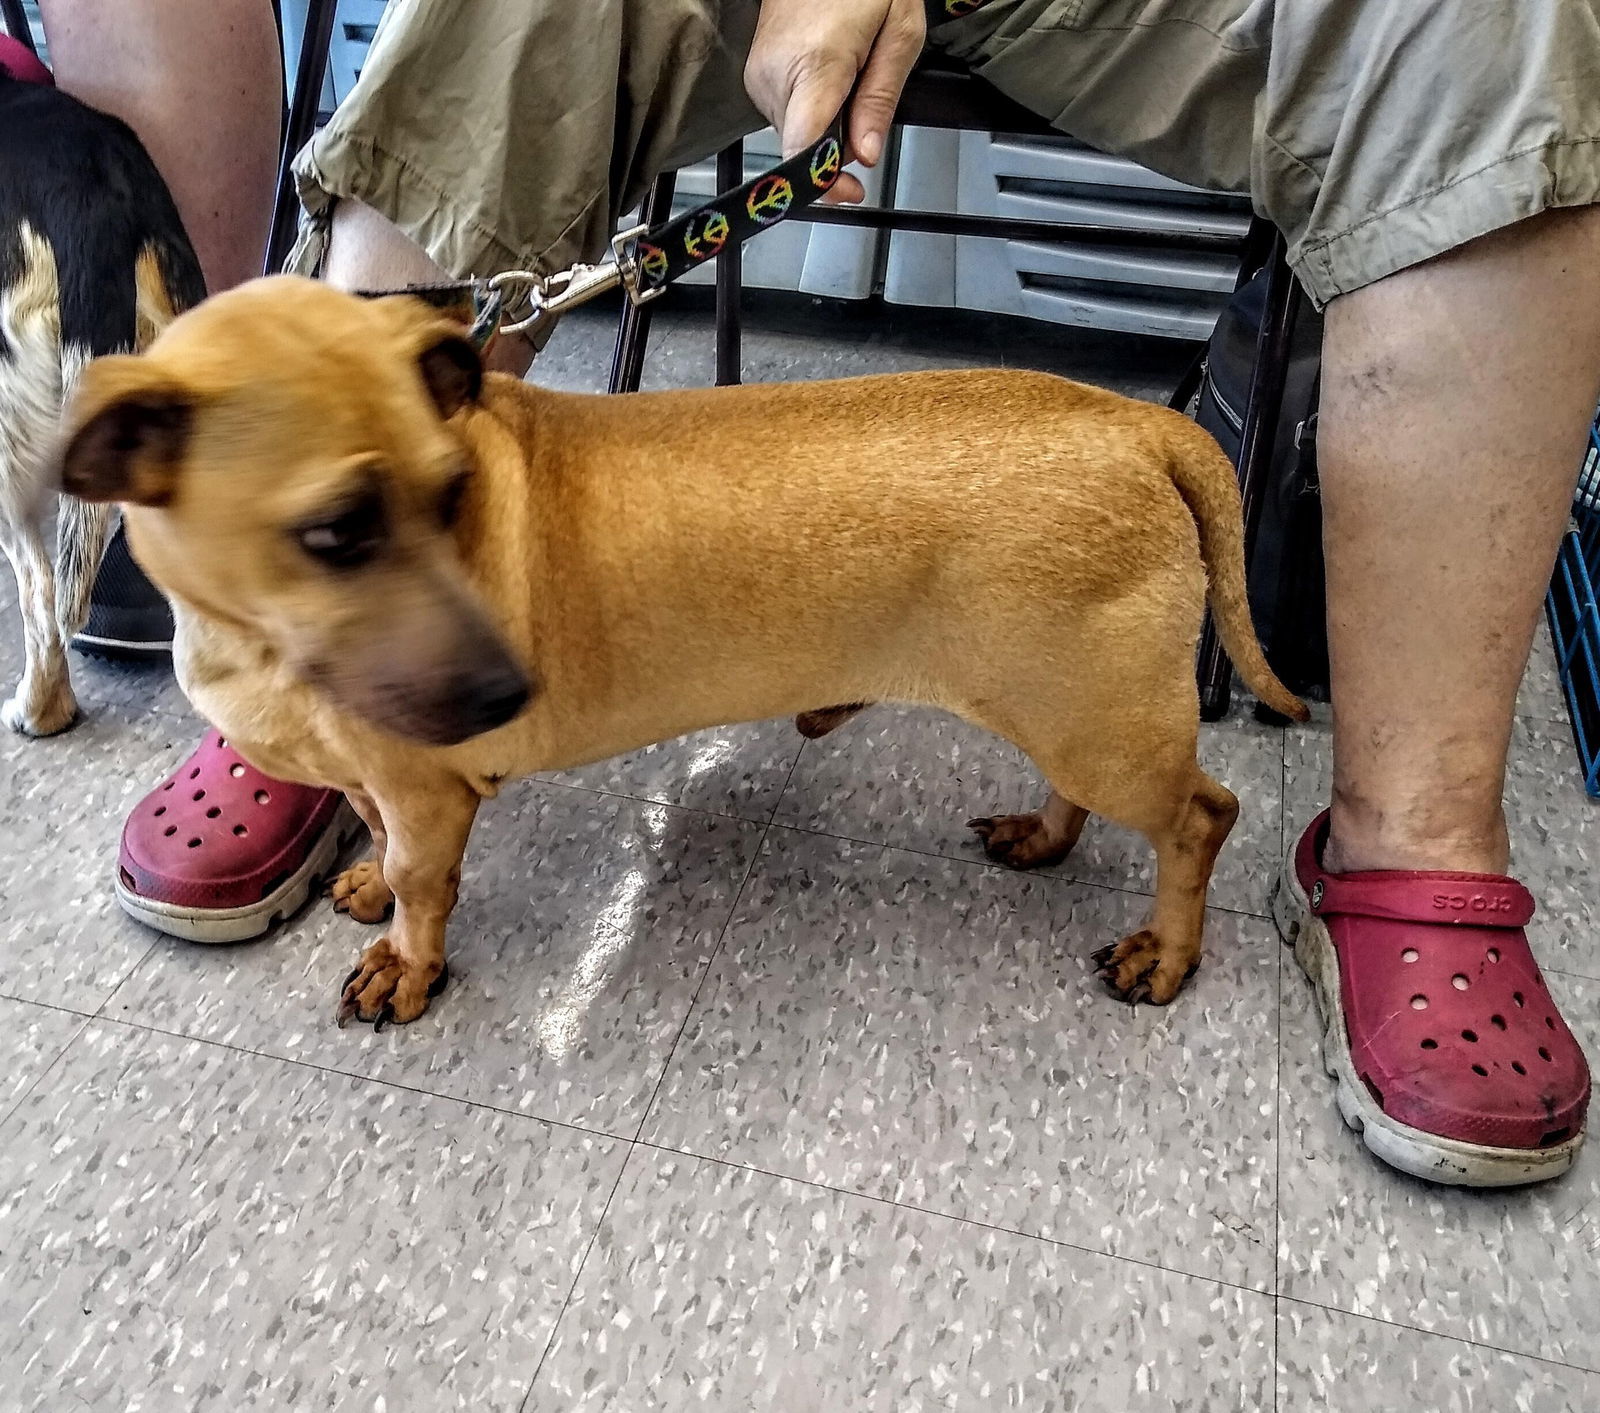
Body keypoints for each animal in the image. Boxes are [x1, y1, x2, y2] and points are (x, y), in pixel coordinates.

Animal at [56, 278, 1305, 1030]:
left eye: (452, 494)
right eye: (334, 533)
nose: (507, 689)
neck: (259, 645)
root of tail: (1140, 422)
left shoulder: (425, 790)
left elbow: (421, 880)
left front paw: (409, 963)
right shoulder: (382, 777)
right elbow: (376, 840)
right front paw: (363, 886)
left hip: (1100, 719)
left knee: (1200, 819)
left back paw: (1165, 952)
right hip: (1069, 706)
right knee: (1083, 793)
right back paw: (1043, 837)